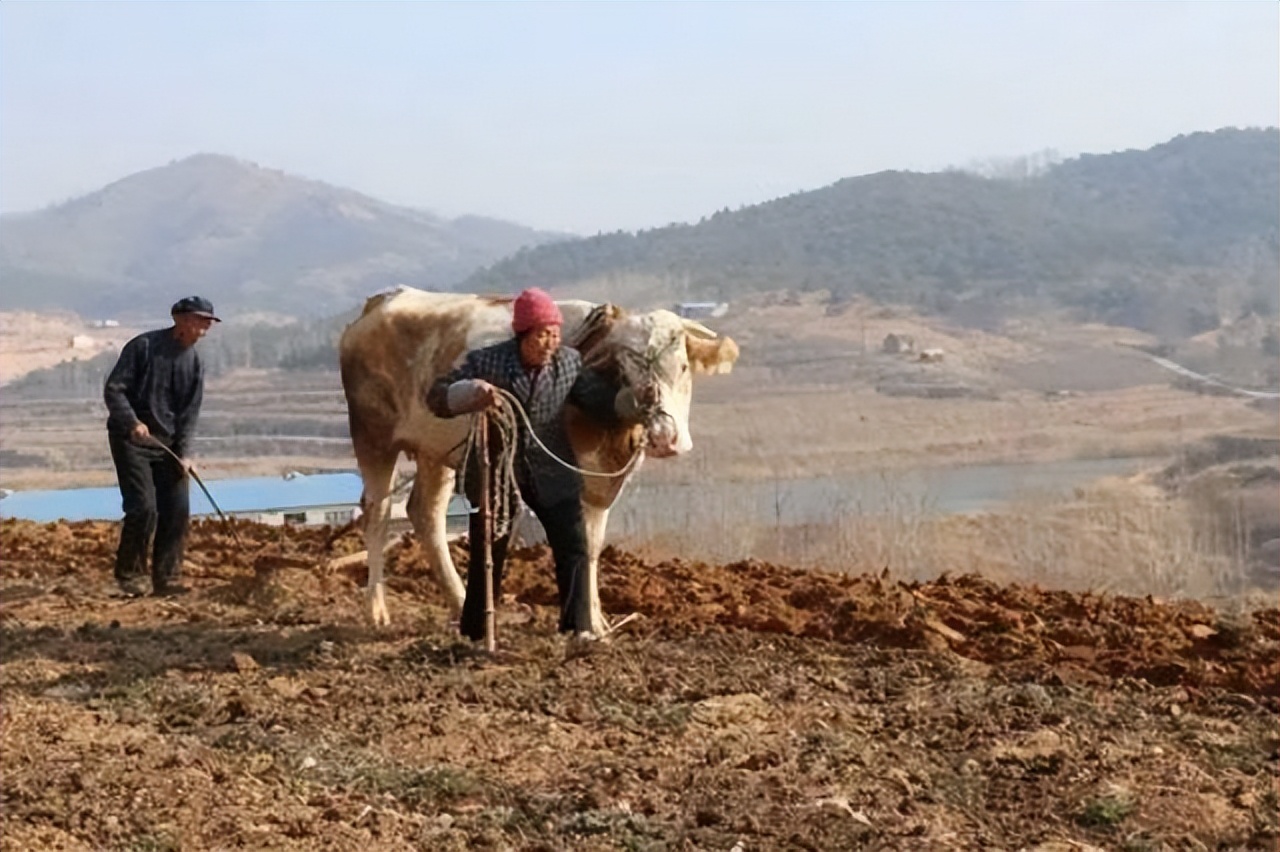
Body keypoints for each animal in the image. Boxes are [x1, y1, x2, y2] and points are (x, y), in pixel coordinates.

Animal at [337, 285, 742, 629]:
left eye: (683, 367)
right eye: (627, 370)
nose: (664, 438)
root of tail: (382, 302)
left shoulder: (603, 482)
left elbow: (592, 545)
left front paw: (598, 621)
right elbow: (579, 541)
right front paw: (589, 622)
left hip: (433, 450)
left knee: (426, 513)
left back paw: (458, 601)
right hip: (373, 437)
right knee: (378, 513)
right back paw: (376, 609)